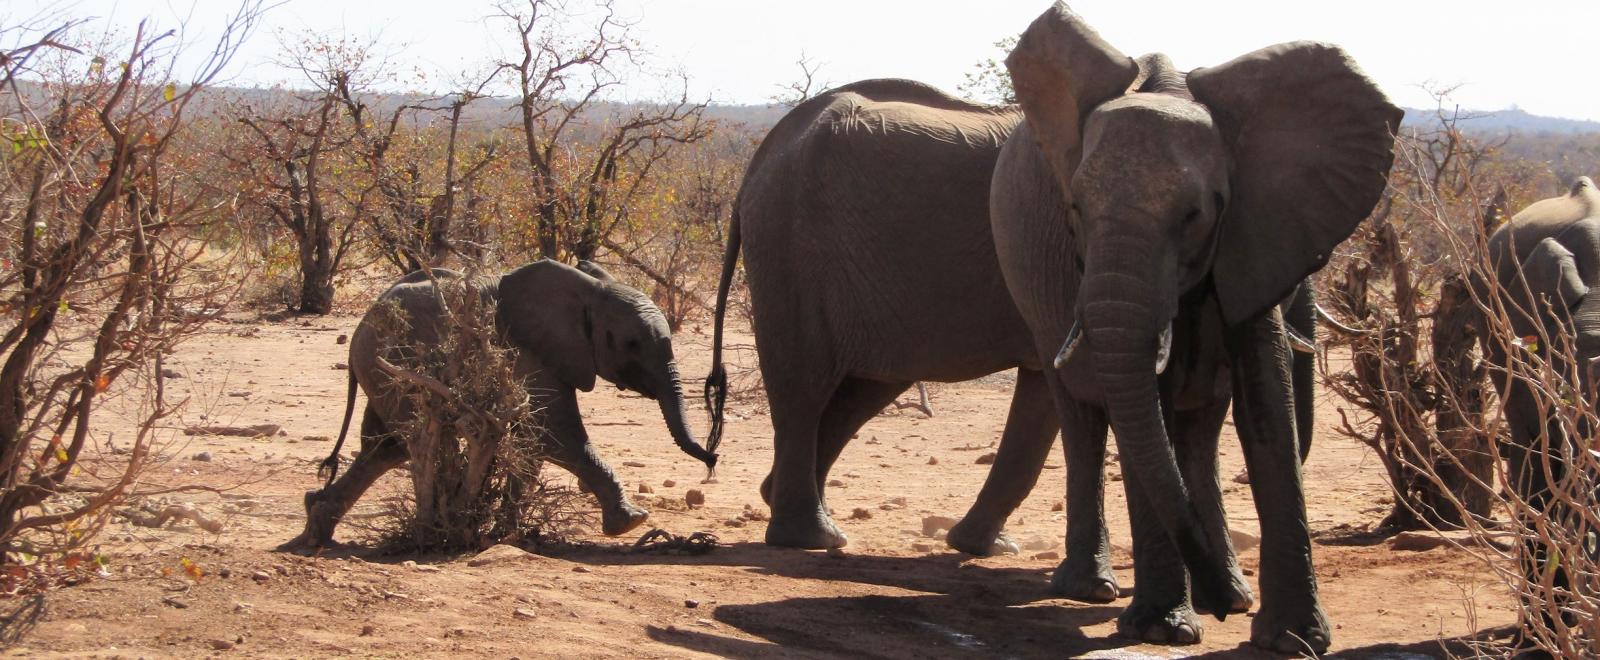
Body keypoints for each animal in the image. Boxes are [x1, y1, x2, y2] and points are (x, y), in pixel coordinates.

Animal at [281, 261, 720, 547]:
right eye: (630, 343)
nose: (712, 458)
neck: (587, 291)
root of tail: (358, 327)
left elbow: (535, 440)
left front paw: (508, 534)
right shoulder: (525, 351)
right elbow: (554, 434)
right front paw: (631, 523)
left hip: (381, 368)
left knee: (385, 448)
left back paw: (315, 526)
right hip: (389, 363)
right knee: (406, 441)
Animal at [985, 5, 1401, 653]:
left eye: (1195, 215)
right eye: (1074, 211)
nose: (1225, 611)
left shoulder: (1251, 236)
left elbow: (1267, 403)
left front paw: (1294, 640)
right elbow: (1142, 393)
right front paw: (1165, 629)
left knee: (1198, 429)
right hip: (1030, 291)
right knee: (1082, 416)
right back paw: (1093, 590)